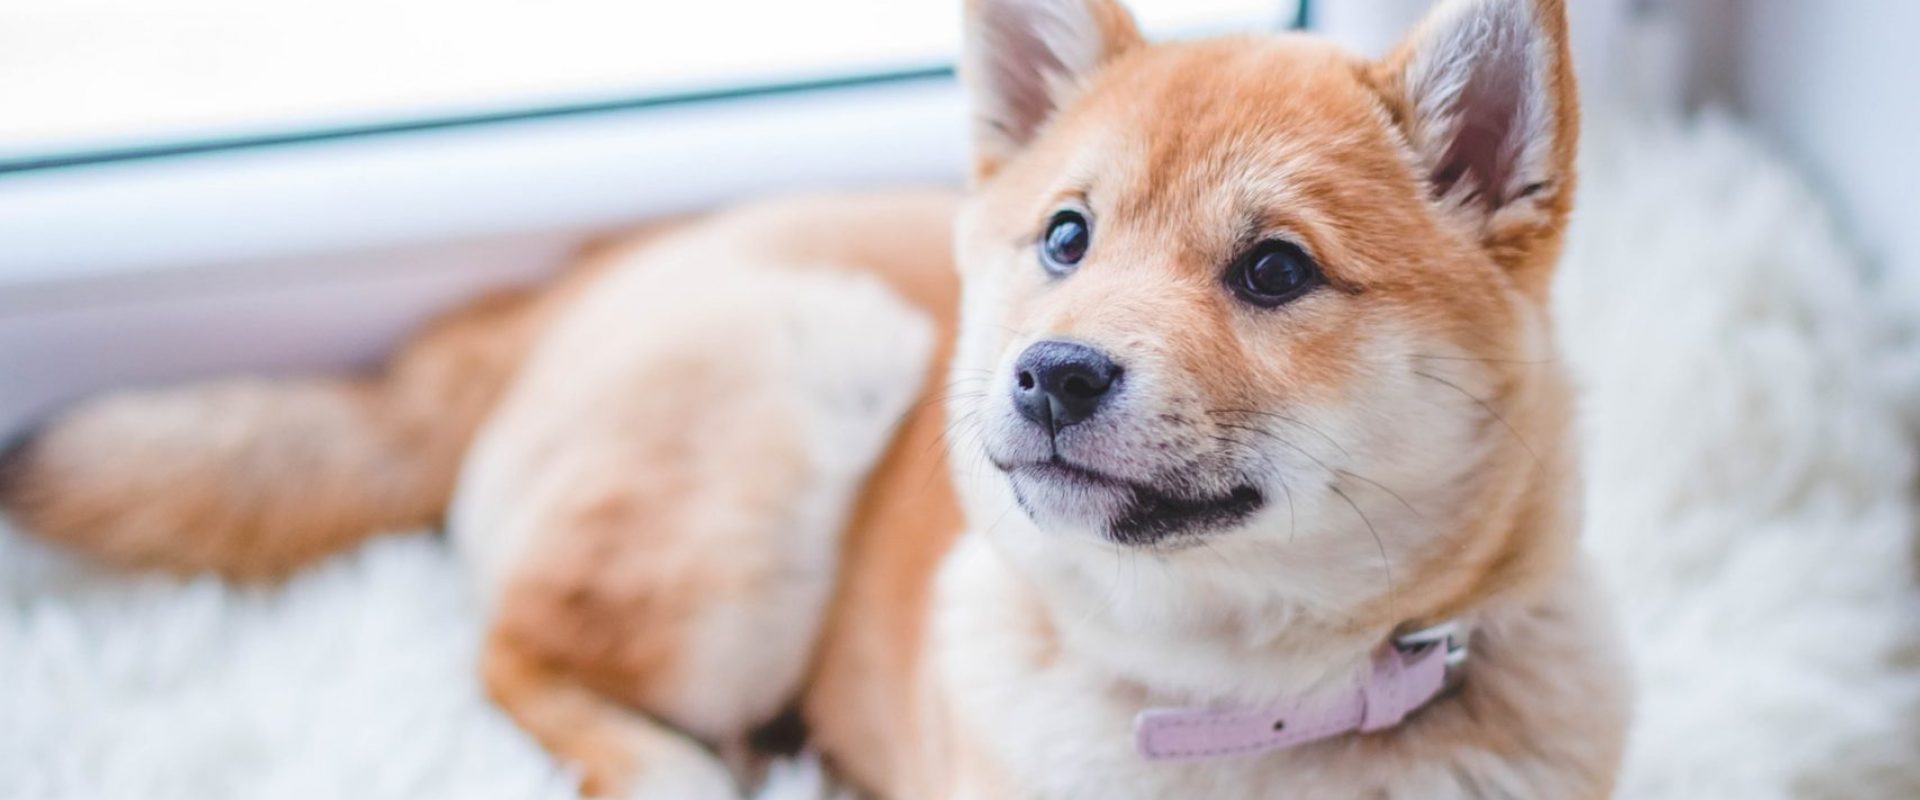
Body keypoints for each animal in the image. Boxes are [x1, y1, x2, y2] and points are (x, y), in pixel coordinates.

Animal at [0, 0, 1628, 794]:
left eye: (1277, 270)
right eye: (1067, 238)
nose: (1051, 373)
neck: (1239, 713)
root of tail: (578, 280)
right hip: (792, 409)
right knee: (518, 654)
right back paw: (680, 768)